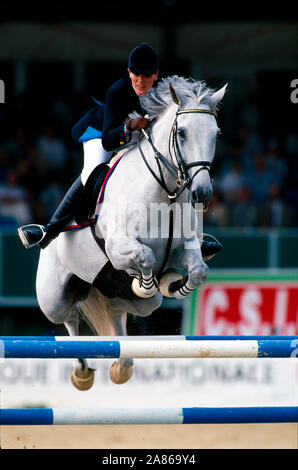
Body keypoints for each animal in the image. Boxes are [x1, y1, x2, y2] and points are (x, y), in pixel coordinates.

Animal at [35, 76, 226, 390]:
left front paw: (174, 285)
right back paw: (82, 371)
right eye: (182, 133)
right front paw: (145, 281)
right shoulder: (117, 246)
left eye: (216, 134)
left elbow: (199, 270)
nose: (202, 194)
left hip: (135, 305)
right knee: (70, 320)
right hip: (52, 298)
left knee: (118, 322)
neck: (165, 193)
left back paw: (122, 365)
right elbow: (145, 256)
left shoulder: (184, 248)